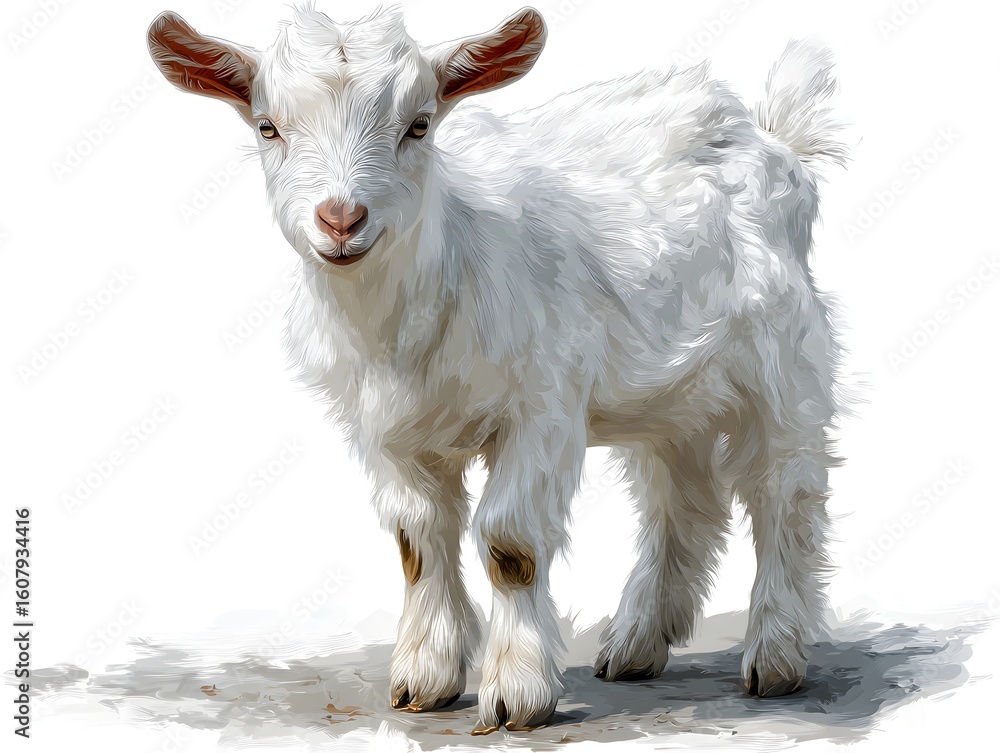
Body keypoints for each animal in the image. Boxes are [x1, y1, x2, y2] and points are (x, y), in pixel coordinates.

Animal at [148, 3, 846, 735]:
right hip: (667, 392)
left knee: (785, 489)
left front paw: (516, 691)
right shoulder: (385, 428)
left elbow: (510, 541)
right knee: (682, 499)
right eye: (268, 126)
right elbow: (417, 538)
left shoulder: (541, 407)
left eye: (419, 124)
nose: (341, 219)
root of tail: (770, 136)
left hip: (782, 360)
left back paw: (775, 654)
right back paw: (635, 643)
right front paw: (425, 676)